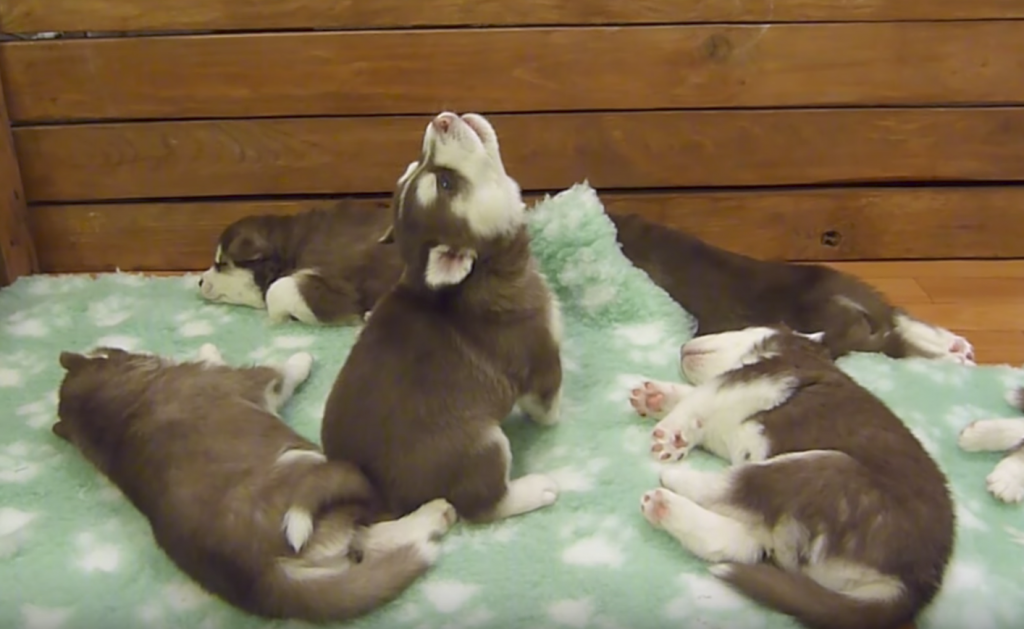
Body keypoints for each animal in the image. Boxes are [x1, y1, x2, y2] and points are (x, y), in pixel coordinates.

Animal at [52, 342, 456, 622]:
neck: (114, 412)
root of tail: (262, 577)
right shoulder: (249, 381)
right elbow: (280, 369)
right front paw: (302, 357)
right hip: (315, 472)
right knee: (376, 535)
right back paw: (435, 515)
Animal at [319, 112, 565, 522]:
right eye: (445, 184)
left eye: (415, 164)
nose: (441, 119)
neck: (485, 271)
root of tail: (381, 499)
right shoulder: (540, 358)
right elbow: (547, 404)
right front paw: (558, 416)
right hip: (483, 445)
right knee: (481, 504)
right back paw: (534, 489)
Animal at [626, 327, 954, 629]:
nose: (683, 346)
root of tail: (917, 584)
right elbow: (692, 397)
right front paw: (654, 397)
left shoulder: (761, 376)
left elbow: (700, 396)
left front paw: (670, 434)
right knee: (739, 543)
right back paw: (663, 506)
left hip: (823, 470)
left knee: (733, 487)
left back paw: (674, 480)